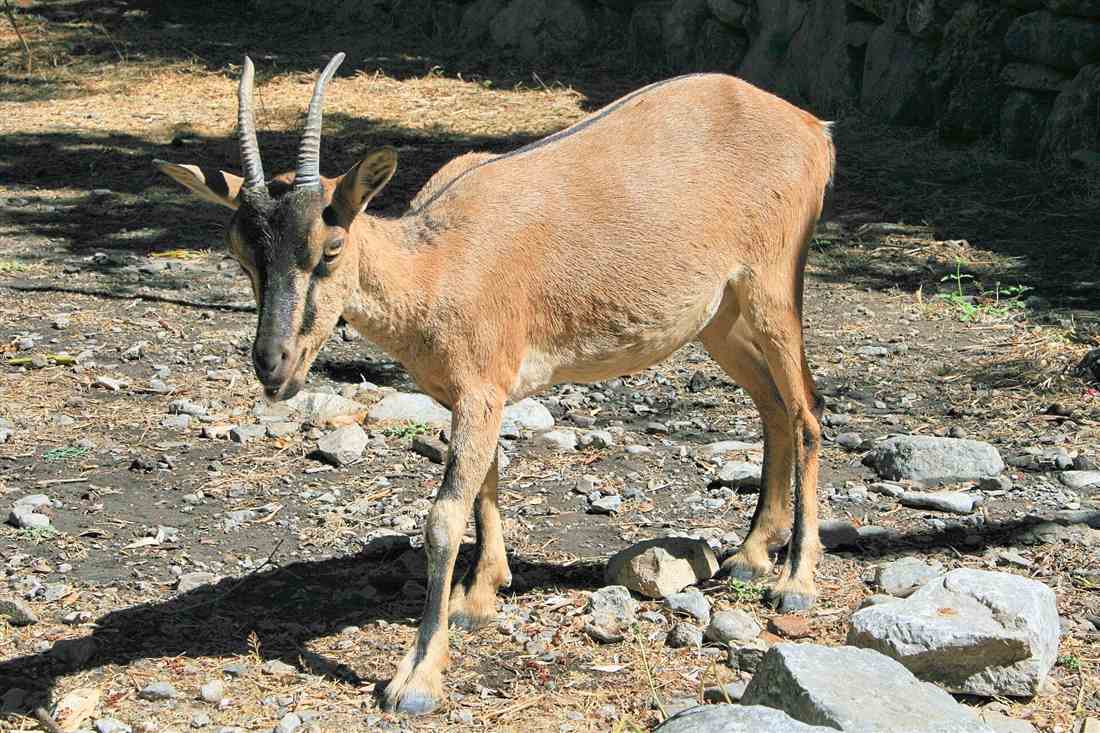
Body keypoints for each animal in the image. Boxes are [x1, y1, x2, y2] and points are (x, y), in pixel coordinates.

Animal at [155, 53, 836, 716]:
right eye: (241, 252)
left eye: (330, 247)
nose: (274, 365)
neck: (438, 266)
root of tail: (812, 129)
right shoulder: (471, 395)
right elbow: (486, 484)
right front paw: (480, 598)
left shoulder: (482, 389)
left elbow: (443, 518)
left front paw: (416, 680)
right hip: (717, 318)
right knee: (773, 406)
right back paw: (750, 556)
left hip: (773, 286)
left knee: (807, 409)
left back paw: (795, 584)